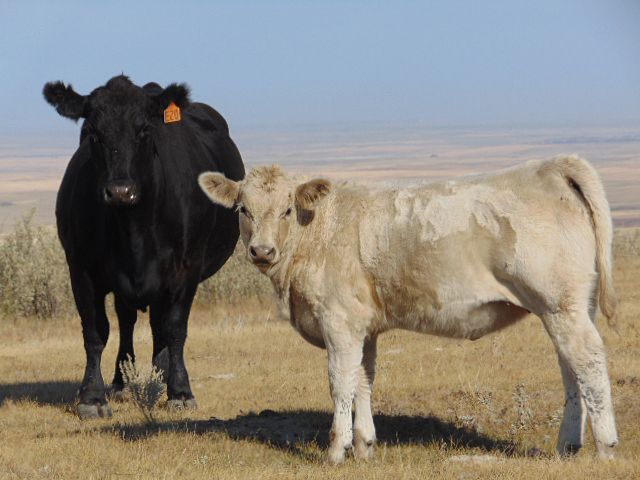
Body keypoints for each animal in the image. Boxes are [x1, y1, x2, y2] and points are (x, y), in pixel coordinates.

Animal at [43, 75, 245, 418]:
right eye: (93, 132)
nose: (120, 191)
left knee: (158, 325)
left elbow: (175, 328)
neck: (133, 230)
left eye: (144, 130)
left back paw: (162, 373)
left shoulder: (187, 268)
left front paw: (180, 391)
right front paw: (92, 397)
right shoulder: (81, 268)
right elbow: (95, 331)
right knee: (127, 320)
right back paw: (122, 380)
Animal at [198, 155, 618, 463]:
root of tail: (551, 166)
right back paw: (568, 446)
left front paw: (336, 450)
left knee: (588, 360)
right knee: (569, 367)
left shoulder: (339, 321)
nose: (262, 250)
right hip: (573, 306)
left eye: (287, 209)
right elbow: (364, 378)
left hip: (559, 303)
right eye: (242, 209)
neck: (318, 231)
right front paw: (364, 446)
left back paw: (605, 447)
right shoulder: (364, 325)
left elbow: (340, 382)